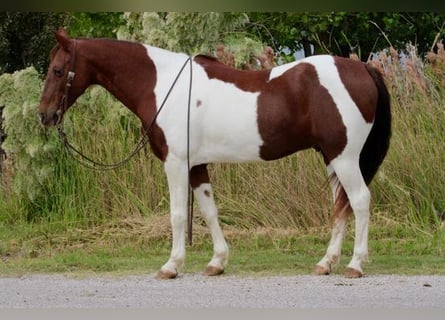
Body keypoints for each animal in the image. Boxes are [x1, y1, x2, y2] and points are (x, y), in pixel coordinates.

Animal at [40, 29, 390, 280]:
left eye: (57, 71)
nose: (45, 116)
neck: (161, 85)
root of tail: (363, 68)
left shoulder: (176, 164)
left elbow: (177, 215)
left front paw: (171, 265)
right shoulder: (196, 166)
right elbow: (209, 212)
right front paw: (217, 262)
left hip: (345, 157)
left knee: (359, 201)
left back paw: (355, 265)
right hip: (332, 157)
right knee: (341, 206)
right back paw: (326, 262)